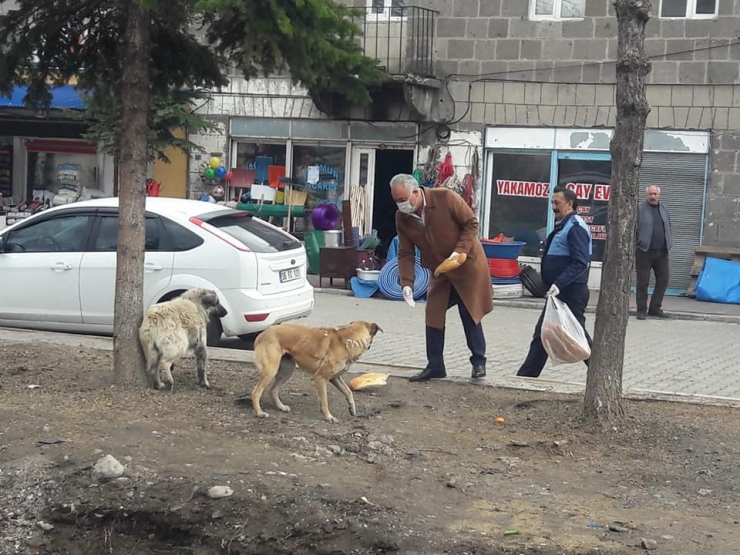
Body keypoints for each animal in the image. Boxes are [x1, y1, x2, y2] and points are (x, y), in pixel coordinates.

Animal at [253, 322, 382, 422]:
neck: (345, 341)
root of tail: (262, 334)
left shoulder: (335, 378)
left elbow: (348, 391)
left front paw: (352, 408)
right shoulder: (320, 378)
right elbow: (324, 401)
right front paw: (329, 417)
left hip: (287, 370)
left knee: (273, 390)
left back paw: (281, 407)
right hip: (271, 370)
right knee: (256, 392)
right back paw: (259, 413)